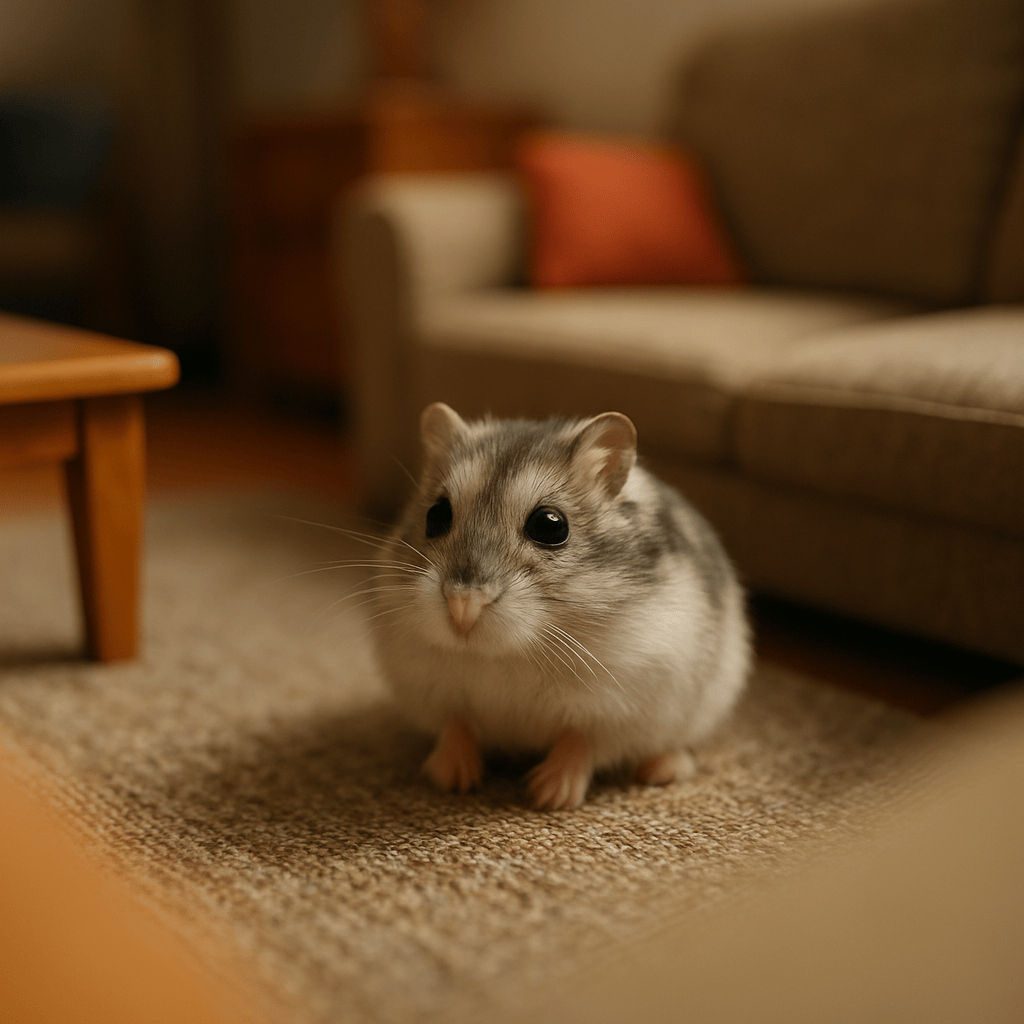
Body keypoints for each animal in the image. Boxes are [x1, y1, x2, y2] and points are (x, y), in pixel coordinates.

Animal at [371, 402, 751, 810]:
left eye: (550, 525)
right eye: (436, 515)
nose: (462, 607)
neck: (507, 653)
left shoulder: (615, 708)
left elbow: (578, 742)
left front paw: (548, 797)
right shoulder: (434, 691)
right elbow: (456, 727)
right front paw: (450, 780)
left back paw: (661, 771)